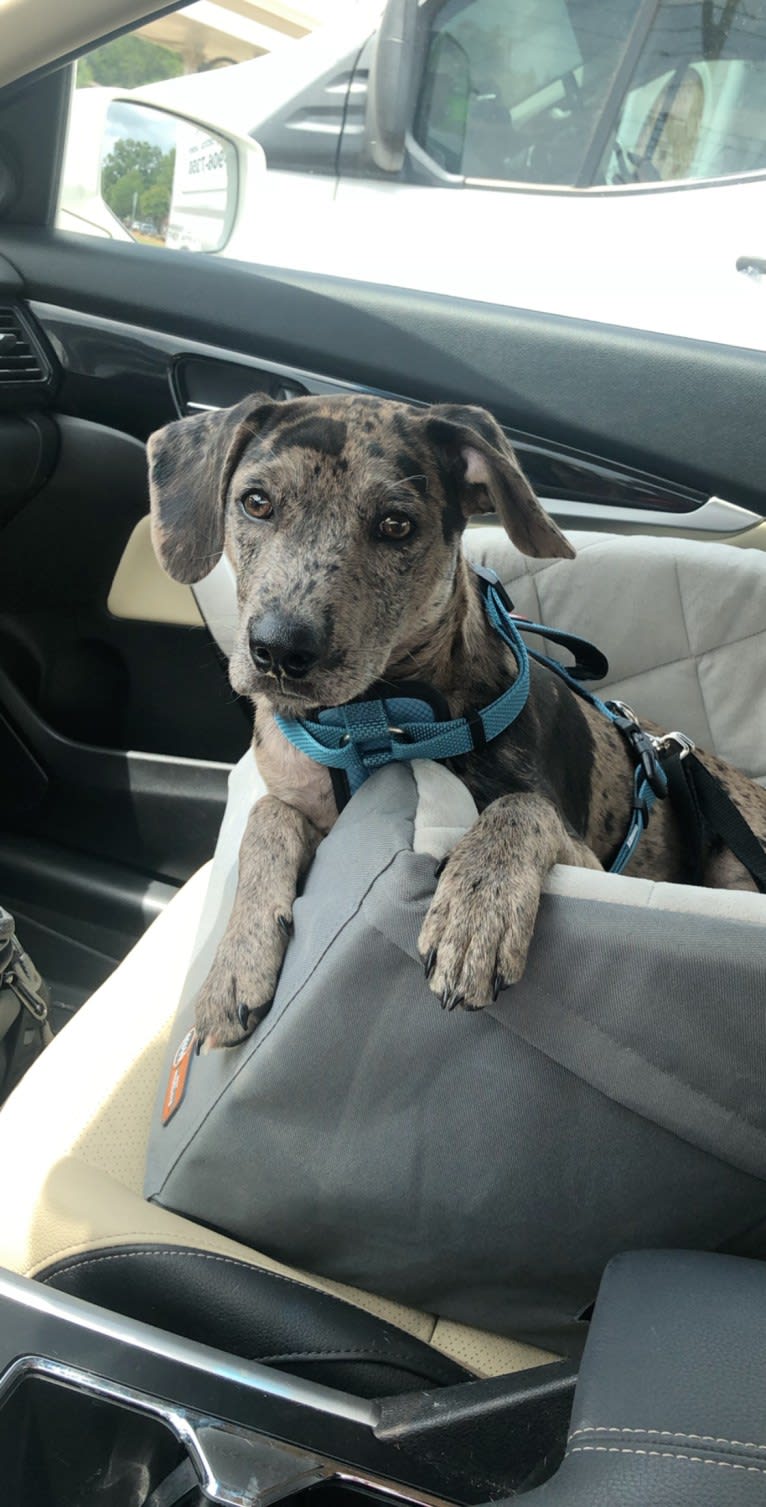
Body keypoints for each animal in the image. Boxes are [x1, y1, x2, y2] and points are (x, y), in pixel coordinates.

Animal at [147, 394, 766, 1042]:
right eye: (256, 502)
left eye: (396, 525)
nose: (278, 651)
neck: (365, 719)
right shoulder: (299, 797)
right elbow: (266, 816)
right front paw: (232, 964)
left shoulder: (598, 864)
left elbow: (520, 807)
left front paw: (477, 909)